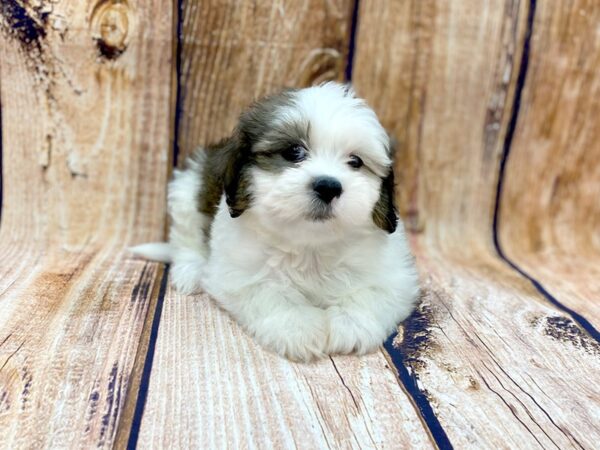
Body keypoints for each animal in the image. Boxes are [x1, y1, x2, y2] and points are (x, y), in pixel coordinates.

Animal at [133, 81, 420, 362]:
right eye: (294, 152)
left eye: (355, 161)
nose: (328, 186)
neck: (311, 245)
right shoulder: (236, 273)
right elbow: (267, 293)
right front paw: (297, 328)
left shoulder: (396, 276)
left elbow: (374, 293)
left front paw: (351, 324)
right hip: (186, 191)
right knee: (186, 238)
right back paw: (191, 270)